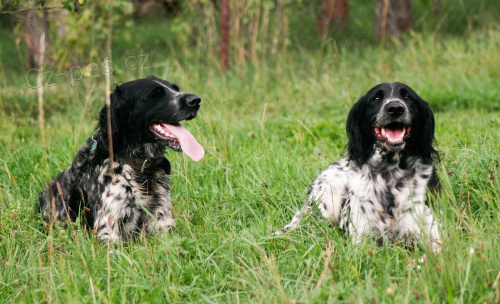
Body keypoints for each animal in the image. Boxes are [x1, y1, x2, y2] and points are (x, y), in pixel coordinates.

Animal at [38, 76, 204, 242]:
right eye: (155, 94)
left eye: (176, 89)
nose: (195, 100)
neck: (137, 168)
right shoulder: (107, 230)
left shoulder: (162, 221)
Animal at [278, 81, 442, 252]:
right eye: (376, 98)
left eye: (408, 97)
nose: (395, 108)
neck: (389, 172)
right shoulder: (362, 239)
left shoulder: (430, 234)